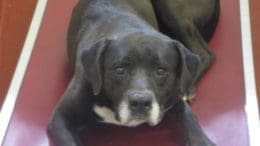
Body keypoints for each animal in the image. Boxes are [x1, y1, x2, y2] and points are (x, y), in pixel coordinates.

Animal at [48, 0, 219, 145]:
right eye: (119, 69)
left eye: (161, 70)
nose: (141, 102)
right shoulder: (60, 119)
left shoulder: (177, 103)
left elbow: (193, 127)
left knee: (204, 53)